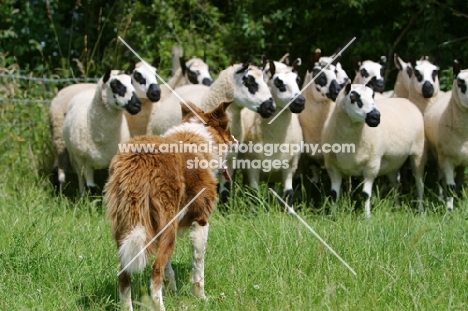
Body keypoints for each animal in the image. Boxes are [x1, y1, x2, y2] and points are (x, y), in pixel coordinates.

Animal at [103, 101, 233, 310]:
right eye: (229, 130)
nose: (236, 140)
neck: (198, 136)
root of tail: (139, 159)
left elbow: (169, 269)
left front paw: (173, 292)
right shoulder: (200, 220)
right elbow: (198, 265)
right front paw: (201, 297)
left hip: (126, 229)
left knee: (123, 277)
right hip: (166, 226)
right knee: (155, 273)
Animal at [239, 58, 306, 206]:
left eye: (298, 79)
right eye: (278, 82)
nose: (300, 102)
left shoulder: (289, 165)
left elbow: (289, 194)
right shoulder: (252, 165)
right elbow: (254, 194)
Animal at [322, 83, 428, 219]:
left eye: (373, 96)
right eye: (353, 97)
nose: (375, 117)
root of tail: (405, 100)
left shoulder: (371, 165)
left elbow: (365, 194)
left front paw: (367, 217)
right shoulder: (332, 167)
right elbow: (334, 194)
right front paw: (332, 216)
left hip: (418, 152)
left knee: (419, 184)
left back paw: (421, 212)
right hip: (391, 163)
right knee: (396, 184)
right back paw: (396, 207)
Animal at [422, 60, 466, 212]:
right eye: (460, 82)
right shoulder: (446, 159)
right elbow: (450, 186)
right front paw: (449, 210)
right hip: (438, 156)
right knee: (442, 180)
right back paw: (443, 197)